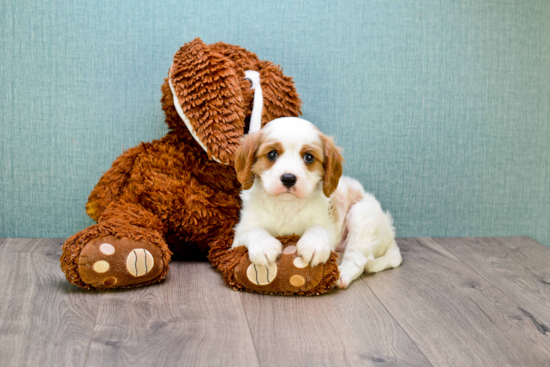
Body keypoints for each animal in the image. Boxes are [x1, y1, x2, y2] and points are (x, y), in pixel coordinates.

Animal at [231, 118, 404, 288]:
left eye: (309, 157)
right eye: (272, 154)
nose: (288, 178)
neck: (286, 205)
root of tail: (391, 235)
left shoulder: (328, 226)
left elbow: (318, 227)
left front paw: (313, 244)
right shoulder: (238, 236)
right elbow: (254, 230)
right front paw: (264, 246)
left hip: (360, 213)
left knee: (357, 260)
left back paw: (342, 274)